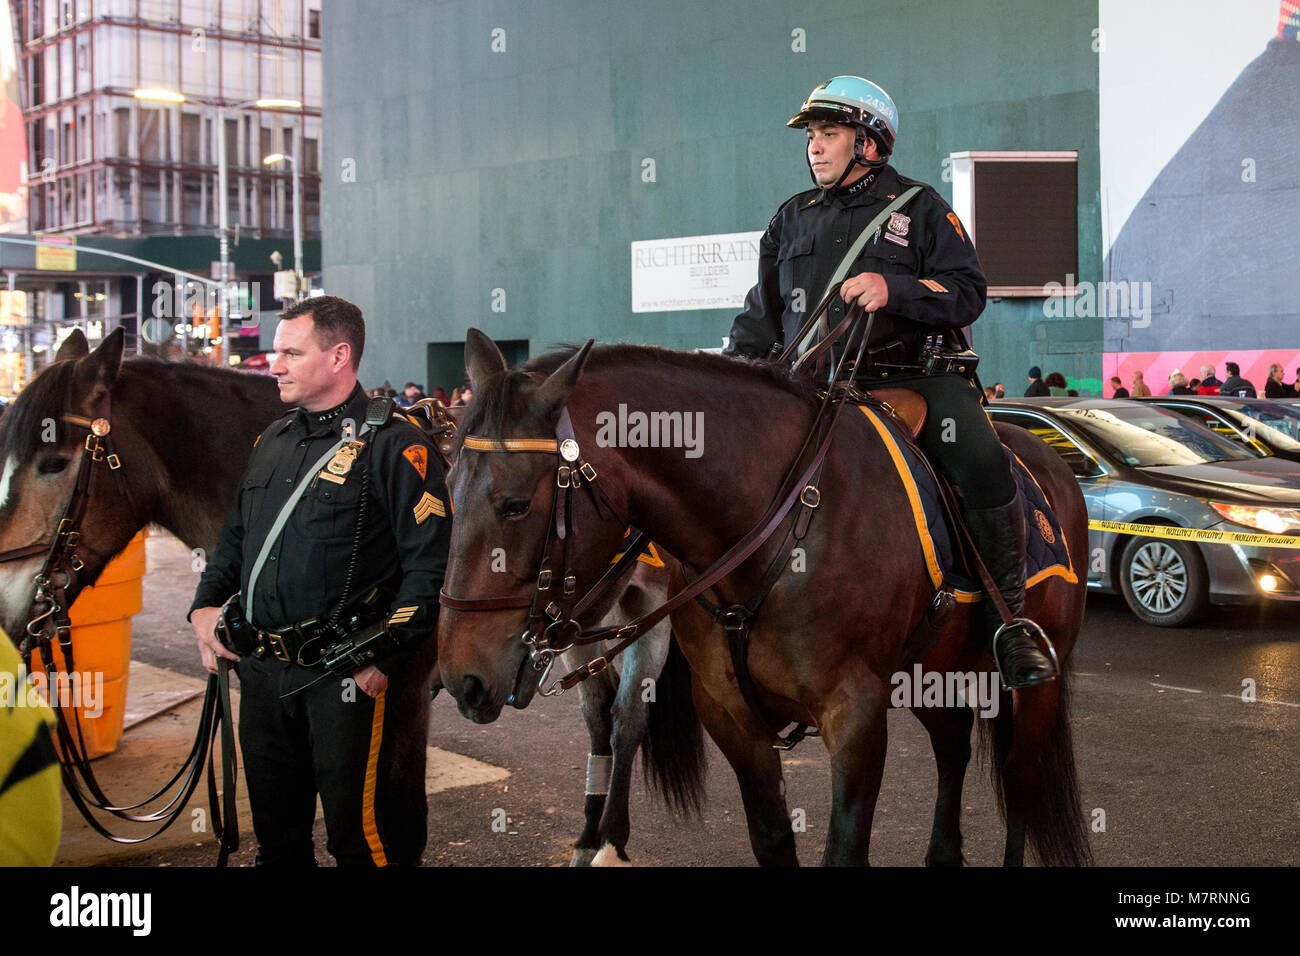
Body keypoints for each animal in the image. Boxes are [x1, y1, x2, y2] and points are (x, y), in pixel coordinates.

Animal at [439, 330, 1097, 868]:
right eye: (447, 484)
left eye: (515, 504)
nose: (460, 681)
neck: (781, 523)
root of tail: (1051, 461)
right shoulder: (730, 715)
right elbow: (772, 839)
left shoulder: (856, 716)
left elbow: (843, 850)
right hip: (928, 670)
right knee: (954, 744)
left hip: (1032, 687)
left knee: (1021, 783)